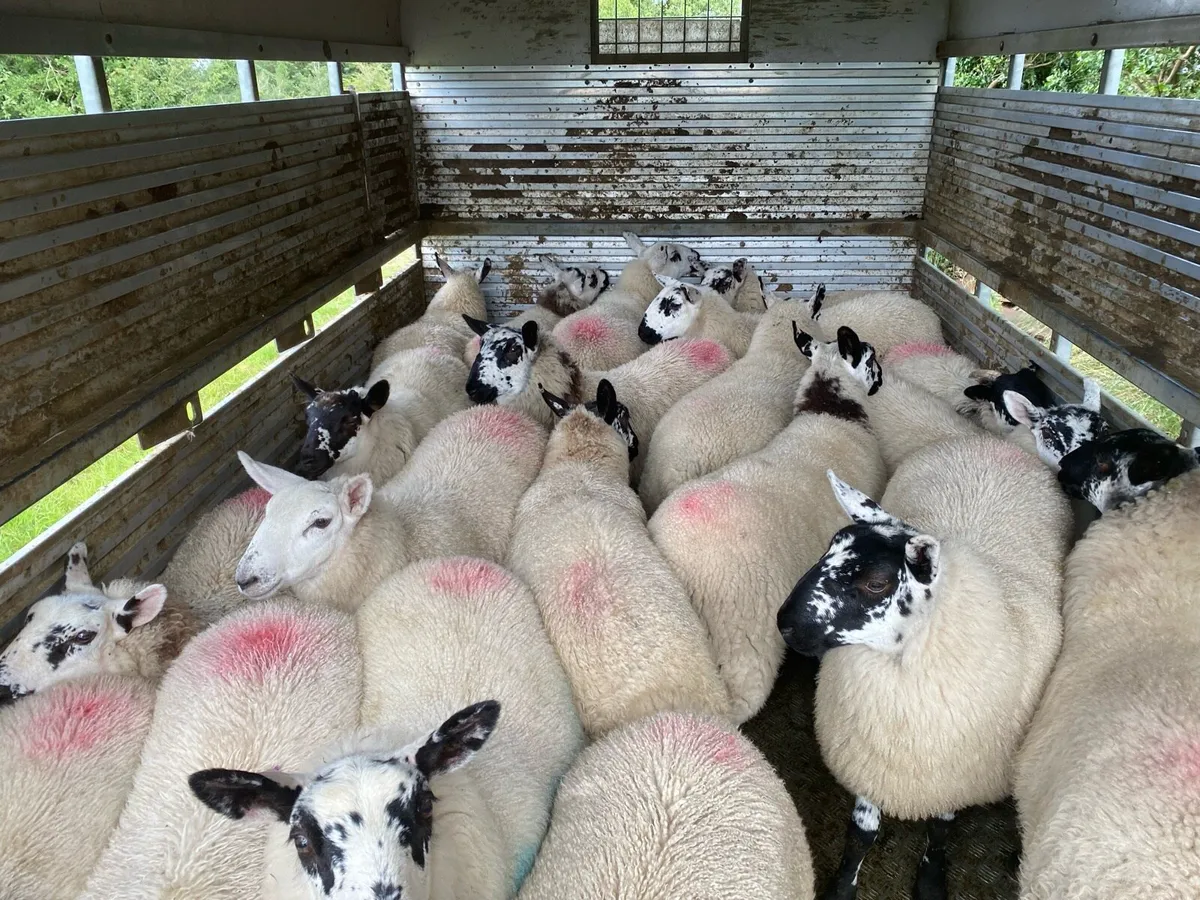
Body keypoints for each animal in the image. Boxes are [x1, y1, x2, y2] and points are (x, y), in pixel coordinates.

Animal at [776, 433, 1071, 900]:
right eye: (828, 547)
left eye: (876, 583)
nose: (783, 623)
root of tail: (987, 441)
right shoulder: (871, 759)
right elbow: (861, 833)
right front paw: (843, 886)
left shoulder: (955, 773)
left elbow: (940, 828)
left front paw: (931, 881)